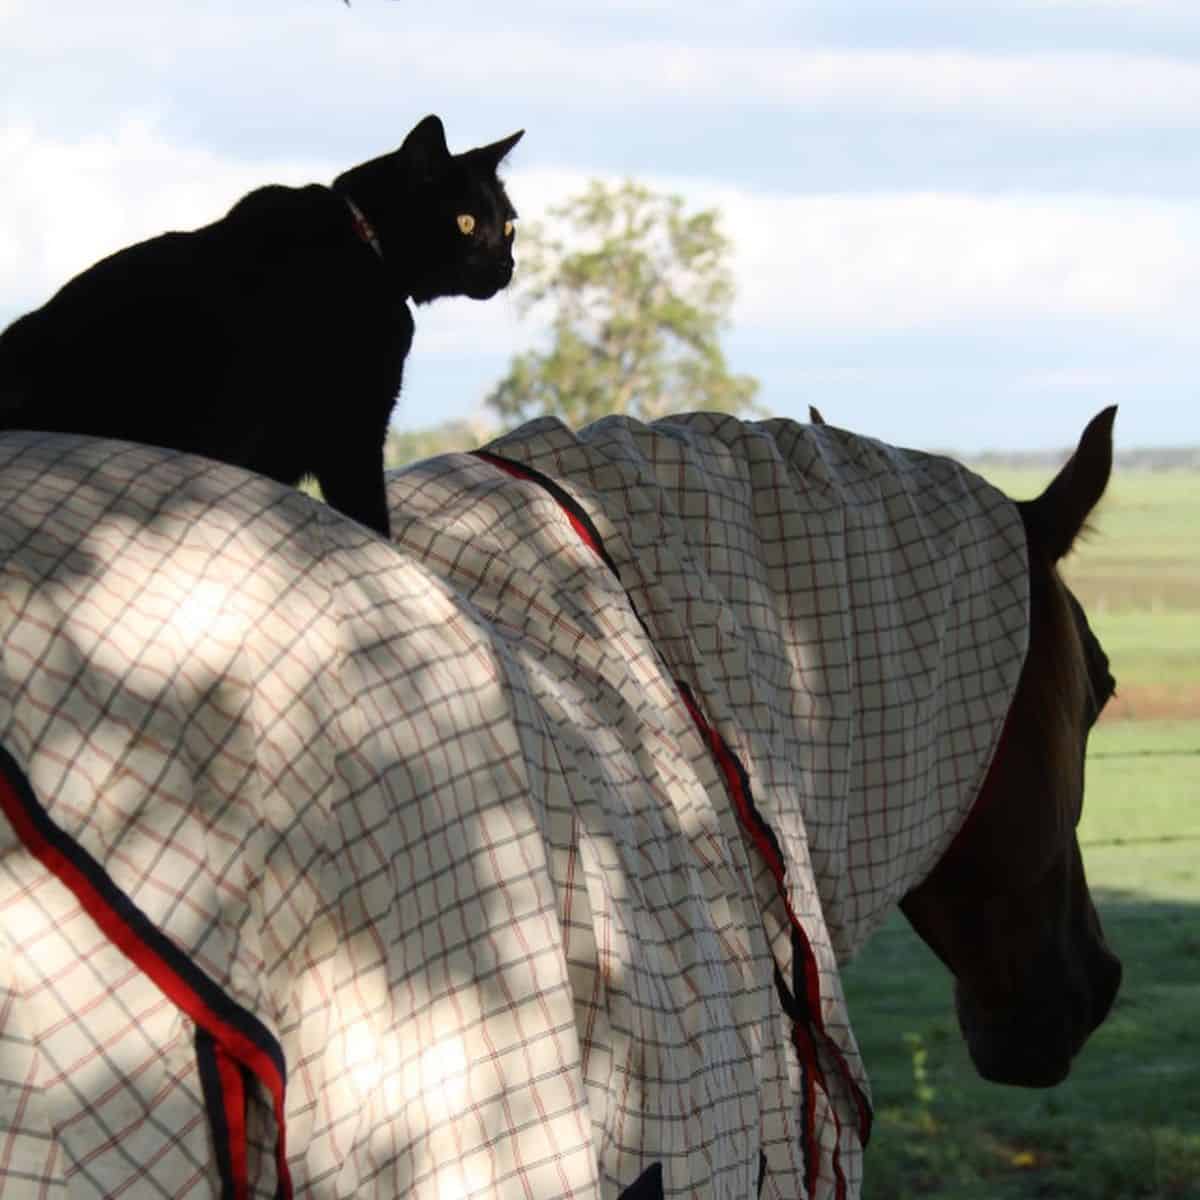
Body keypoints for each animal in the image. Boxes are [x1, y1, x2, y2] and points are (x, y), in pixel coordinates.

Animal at [1, 112, 525, 535]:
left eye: (508, 226)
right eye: (465, 222)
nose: (506, 265)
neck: (367, 250)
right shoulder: (350, 435)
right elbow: (373, 524)